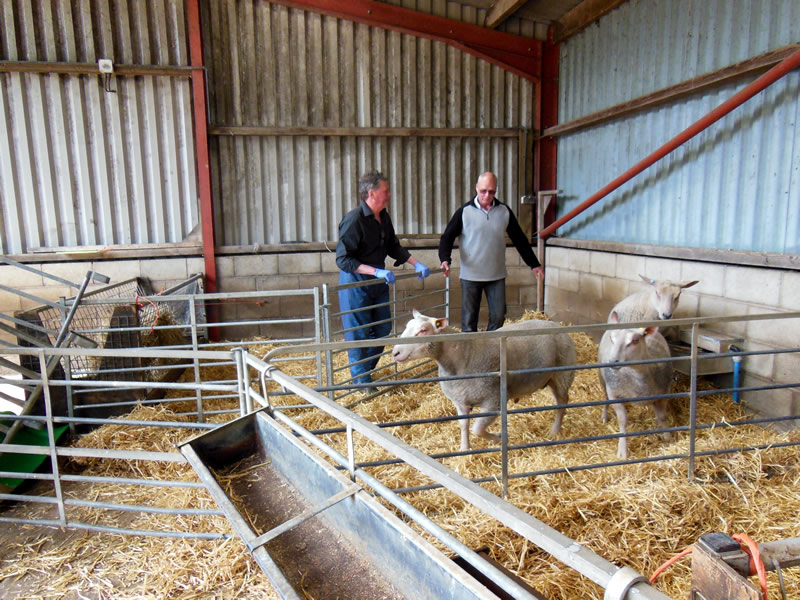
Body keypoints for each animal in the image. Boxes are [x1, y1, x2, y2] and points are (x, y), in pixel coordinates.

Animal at [390, 312, 572, 448]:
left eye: (423, 330)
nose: (395, 352)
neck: (464, 355)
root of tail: (555, 324)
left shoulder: (493, 400)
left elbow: (477, 429)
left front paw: (499, 438)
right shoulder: (460, 401)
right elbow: (463, 425)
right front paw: (464, 449)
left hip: (562, 375)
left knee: (562, 404)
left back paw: (554, 432)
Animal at [600, 312, 676, 458]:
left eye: (635, 340)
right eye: (612, 339)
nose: (612, 361)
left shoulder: (664, 392)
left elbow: (662, 417)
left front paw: (668, 438)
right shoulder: (614, 394)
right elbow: (622, 420)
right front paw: (622, 450)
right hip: (602, 379)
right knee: (605, 400)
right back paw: (604, 417)